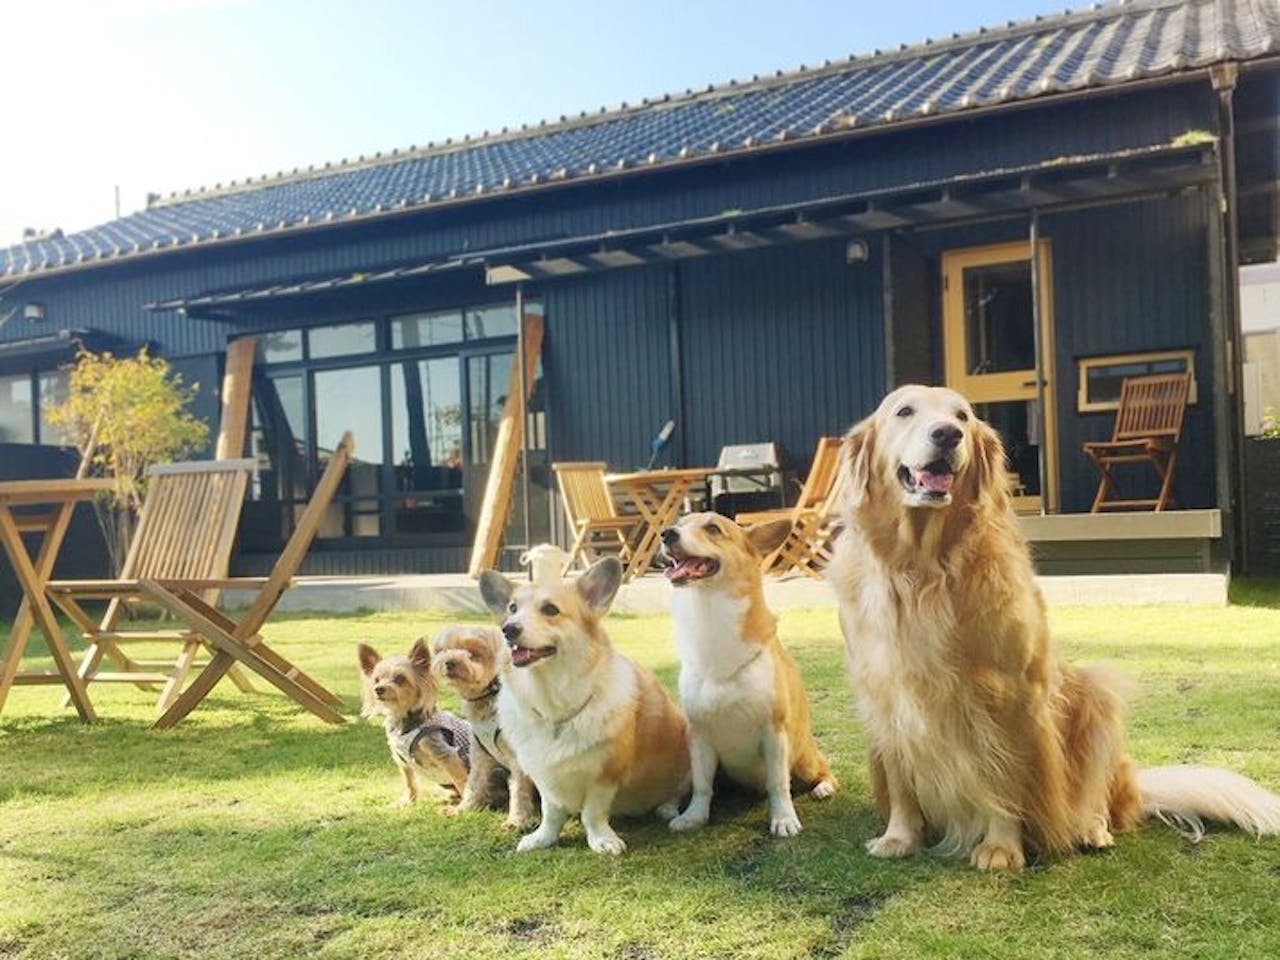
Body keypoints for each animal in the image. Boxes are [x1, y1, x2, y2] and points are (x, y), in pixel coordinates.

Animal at [358, 640, 473, 814]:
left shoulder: (446, 755)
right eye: (376, 680)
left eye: (400, 678)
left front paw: (462, 809)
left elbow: (461, 781)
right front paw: (407, 802)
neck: (404, 720)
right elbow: (410, 782)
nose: (378, 689)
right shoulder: (402, 760)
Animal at [432, 627, 537, 829]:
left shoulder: (517, 758)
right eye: (444, 650)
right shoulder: (480, 754)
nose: (449, 662)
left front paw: (516, 821)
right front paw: (463, 809)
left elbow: (519, 789)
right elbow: (473, 784)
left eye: (472, 652)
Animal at [478, 555, 691, 855]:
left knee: (677, 791)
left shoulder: (605, 776)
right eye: (512, 609)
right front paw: (542, 838)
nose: (508, 629)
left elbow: (593, 813)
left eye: (550, 609)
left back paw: (667, 808)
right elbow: (551, 813)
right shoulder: (545, 777)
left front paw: (602, 840)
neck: (553, 703)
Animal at [660, 514, 839, 839]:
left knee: (821, 771)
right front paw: (694, 816)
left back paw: (823, 787)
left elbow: (778, 783)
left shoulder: (773, 732)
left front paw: (783, 819)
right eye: (680, 522)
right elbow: (702, 785)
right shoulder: (699, 735)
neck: (709, 612)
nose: (667, 534)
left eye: (713, 528)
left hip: (804, 759)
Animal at [829, 384, 1280, 870]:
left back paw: (1090, 828)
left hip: (1096, 697)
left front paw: (1002, 847)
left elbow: (1005, 777)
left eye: (963, 416)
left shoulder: (1012, 692)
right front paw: (900, 836)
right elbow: (900, 781)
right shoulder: (885, 693)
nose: (948, 434)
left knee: (1099, 798)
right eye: (904, 411)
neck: (923, 567)